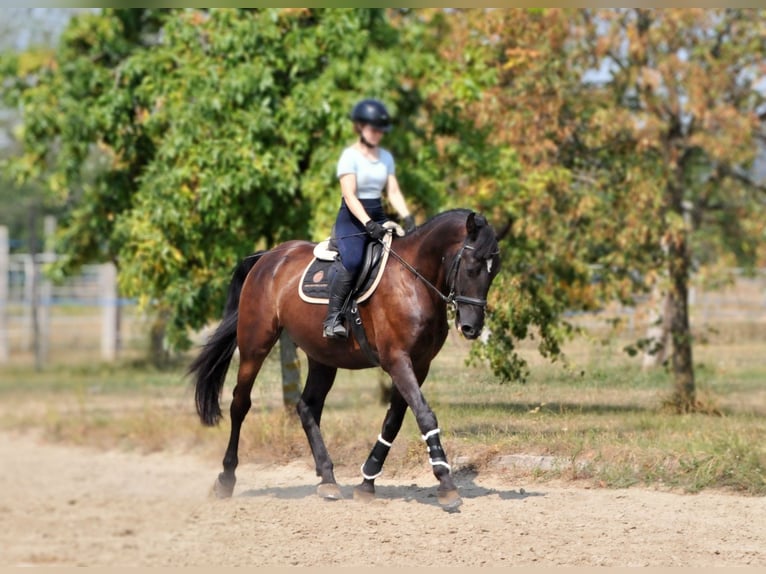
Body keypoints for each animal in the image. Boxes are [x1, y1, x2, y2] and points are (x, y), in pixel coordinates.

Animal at [190, 208, 504, 512]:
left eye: (494, 272)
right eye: (472, 266)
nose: (471, 328)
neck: (414, 281)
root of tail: (267, 257)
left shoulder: (419, 364)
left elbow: (393, 421)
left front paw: (367, 482)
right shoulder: (397, 360)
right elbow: (425, 415)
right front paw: (446, 484)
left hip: (322, 356)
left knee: (307, 407)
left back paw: (327, 479)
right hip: (255, 344)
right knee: (240, 404)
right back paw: (226, 479)